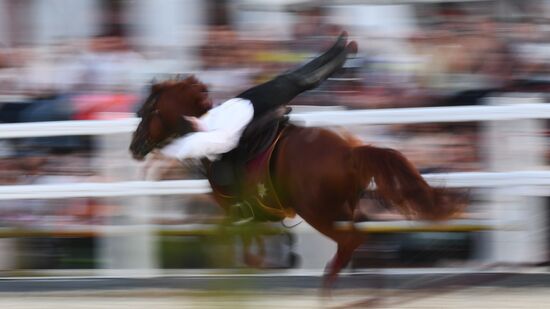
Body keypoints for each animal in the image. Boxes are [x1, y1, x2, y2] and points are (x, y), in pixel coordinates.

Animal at [129, 76, 462, 286]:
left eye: (147, 112)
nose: (135, 146)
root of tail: (351, 151)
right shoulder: (252, 214)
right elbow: (252, 238)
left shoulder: (233, 209)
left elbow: (234, 237)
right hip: (342, 208)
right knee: (358, 236)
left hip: (317, 211)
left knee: (349, 241)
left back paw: (329, 283)